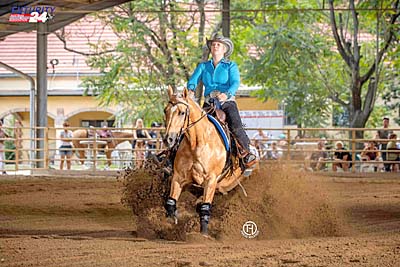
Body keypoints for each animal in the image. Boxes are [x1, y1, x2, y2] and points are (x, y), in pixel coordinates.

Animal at [162, 87, 244, 236]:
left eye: (182, 112)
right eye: (166, 110)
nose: (168, 139)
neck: (198, 143)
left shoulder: (211, 180)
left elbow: (205, 208)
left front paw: (204, 233)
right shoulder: (178, 176)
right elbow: (171, 201)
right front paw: (170, 222)